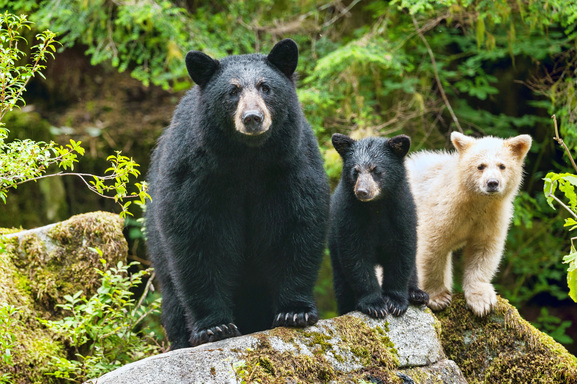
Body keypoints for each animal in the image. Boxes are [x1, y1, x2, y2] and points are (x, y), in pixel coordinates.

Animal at [146, 40, 330, 350]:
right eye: (232, 91)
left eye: (265, 87)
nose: (252, 118)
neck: (248, 159)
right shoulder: (196, 175)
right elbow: (197, 240)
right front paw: (214, 327)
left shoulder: (291, 167)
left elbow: (297, 228)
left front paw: (295, 312)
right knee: (172, 297)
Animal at [326, 134, 426, 318]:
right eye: (355, 171)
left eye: (375, 170)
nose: (362, 191)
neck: (376, 206)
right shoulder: (349, 216)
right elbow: (356, 257)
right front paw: (374, 304)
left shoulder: (402, 213)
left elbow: (402, 253)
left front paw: (395, 301)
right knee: (342, 284)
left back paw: (417, 294)